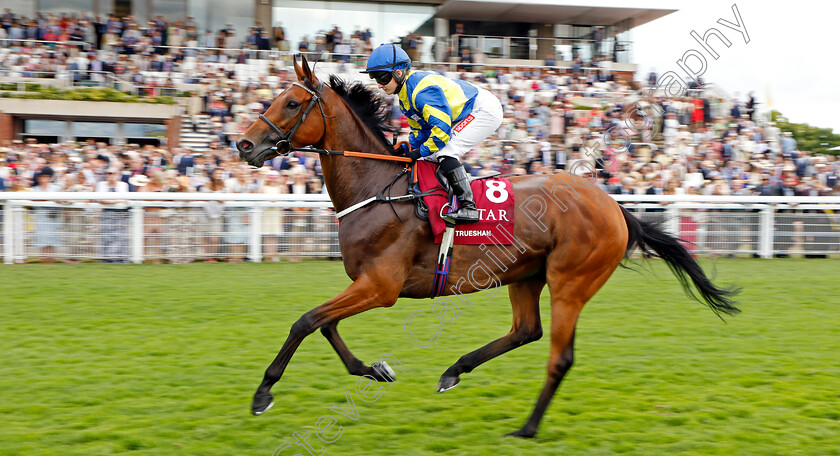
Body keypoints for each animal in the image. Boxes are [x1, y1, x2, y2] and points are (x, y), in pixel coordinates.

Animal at [233, 57, 740, 438]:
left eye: (292, 102)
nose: (243, 145)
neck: (378, 190)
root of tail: (615, 207)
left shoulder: (381, 286)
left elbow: (306, 321)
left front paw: (262, 394)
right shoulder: (366, 283)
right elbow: (325, 326)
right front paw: (374, 370)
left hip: (571, 280)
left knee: (559, 355)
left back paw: (527, 428)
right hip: (526, 275)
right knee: (525, 331)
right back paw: (455, 370)